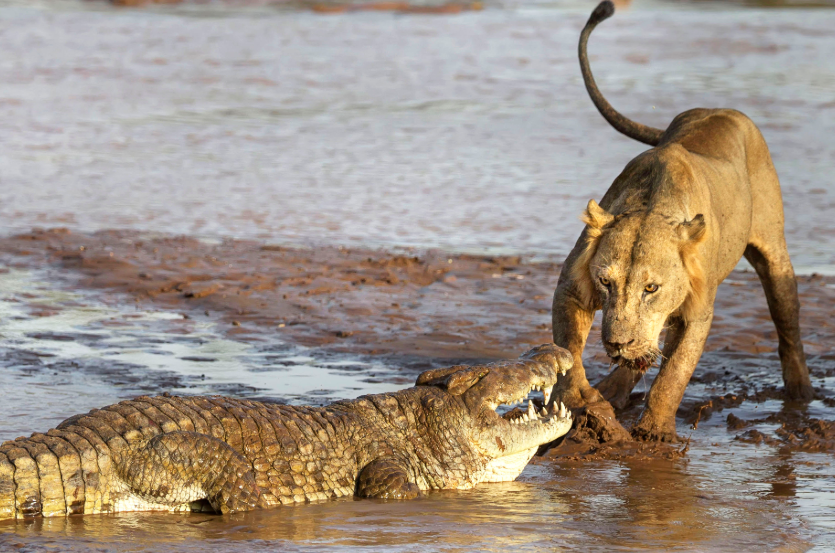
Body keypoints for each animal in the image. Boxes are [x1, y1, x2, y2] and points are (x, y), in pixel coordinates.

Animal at [548, 0, 816, 440]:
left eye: (651, 288)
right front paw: (588, 403)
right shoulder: (571, 289)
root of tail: (718, 109)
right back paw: (613, 389)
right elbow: (569, 353)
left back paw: (801, 392)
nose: (617, 343)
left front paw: (655, 430)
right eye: (605, 282)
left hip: (774, 253)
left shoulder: (698, 312)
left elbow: (675, 373)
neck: (651, 206)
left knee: (787, 324)